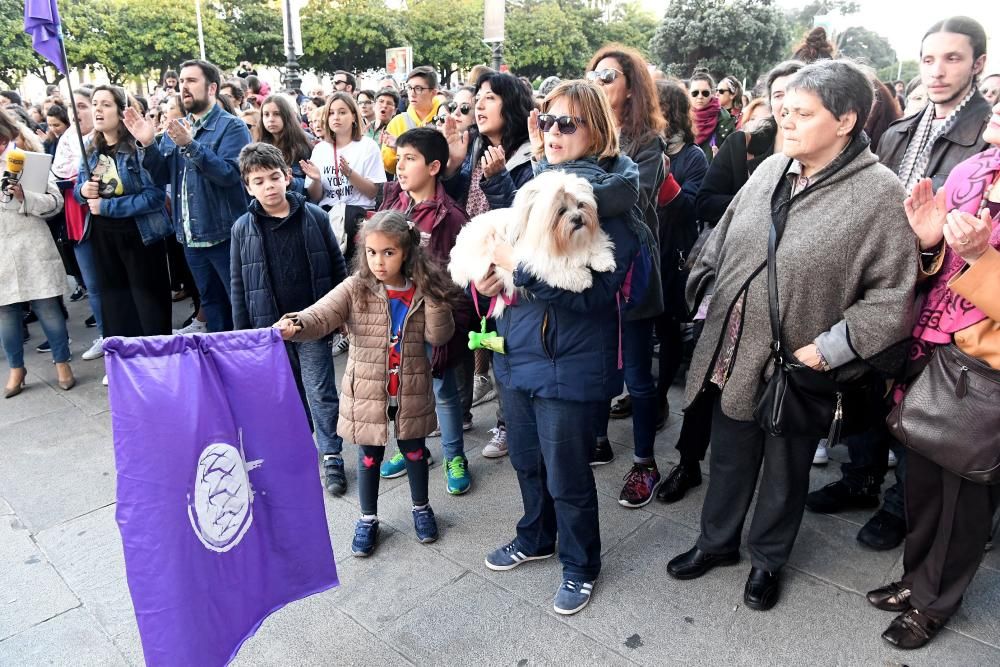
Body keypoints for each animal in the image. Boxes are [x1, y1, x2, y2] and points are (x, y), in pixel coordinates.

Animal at [448, 172, 616, 318]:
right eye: (561, 211)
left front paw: (603, 259)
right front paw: (580, 278)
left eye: (580, 204)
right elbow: (555, 267)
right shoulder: (534, 259)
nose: (578, 218)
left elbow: (596, 246)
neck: (565, 242)